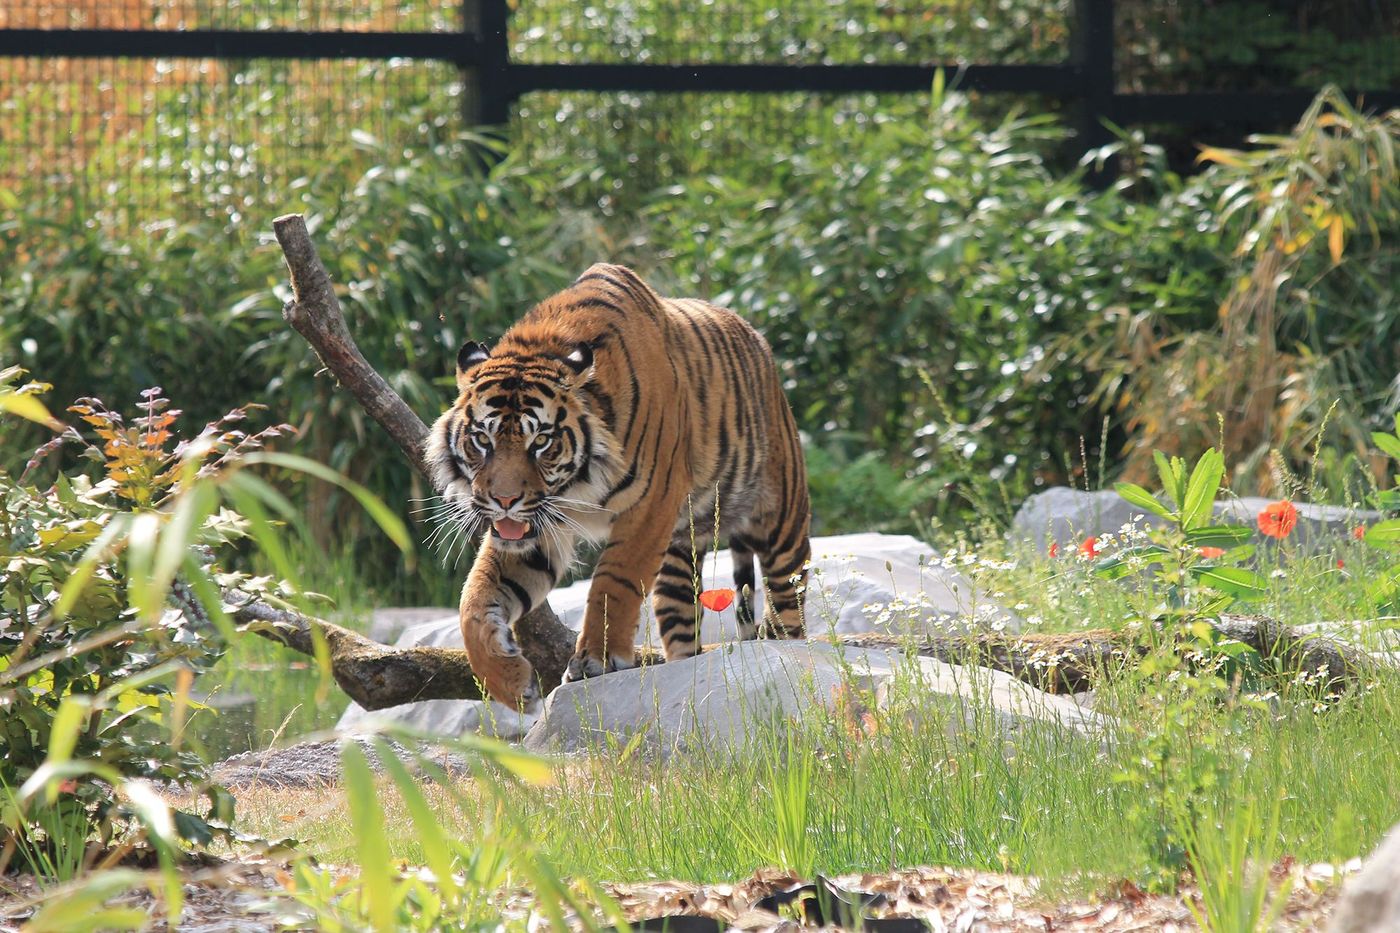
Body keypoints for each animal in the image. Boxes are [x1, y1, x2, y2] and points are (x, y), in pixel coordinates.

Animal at [425, 263, 812, 710]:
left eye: (540, 441)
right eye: (482, 440)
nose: (504, 500)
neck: (574, 488)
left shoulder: (650, 506)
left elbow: (614, 583)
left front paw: (597, 660)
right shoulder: (537, 525)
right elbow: (475, 597)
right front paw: (509, 682)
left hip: (782, 528)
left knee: (789, 605)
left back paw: (791, 659)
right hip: (678, 558)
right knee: (684, 627)